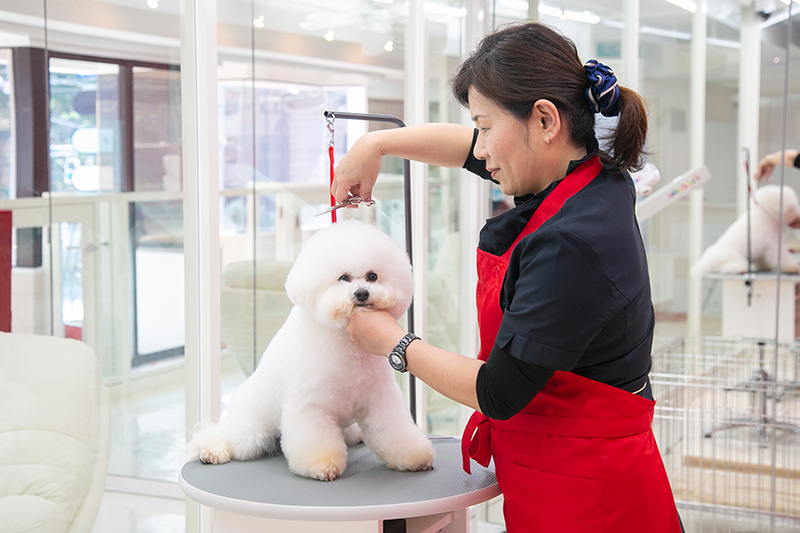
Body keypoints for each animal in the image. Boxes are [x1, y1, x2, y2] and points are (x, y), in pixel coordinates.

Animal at [186, 218, 438, 480]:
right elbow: (315, 440)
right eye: (343, 277)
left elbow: (394, 430)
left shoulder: (380, 399)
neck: (344, 342)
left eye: (372, 276)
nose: (361, 293)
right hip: (252, 430)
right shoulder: (310, 404)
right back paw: (211, 450)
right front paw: (322, 465)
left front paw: (414, 456)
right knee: (226, 436)